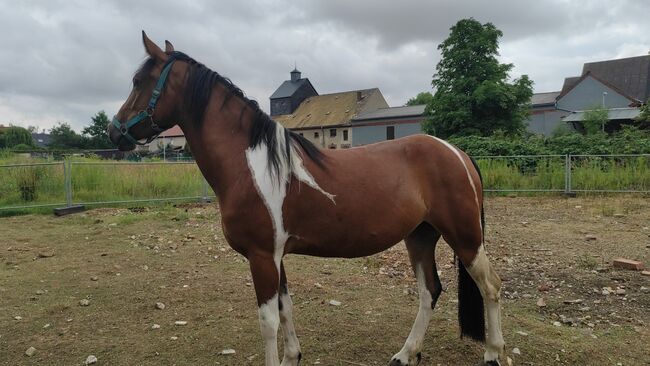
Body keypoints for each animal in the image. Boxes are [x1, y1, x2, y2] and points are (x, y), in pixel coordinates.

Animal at [107, 32, 506, 366]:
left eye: (139, 82)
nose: (114, 131)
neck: (252, 164)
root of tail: (457, 153)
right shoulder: (275, 256)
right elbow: (286, 309)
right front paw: (292, 357)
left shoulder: (262, 256)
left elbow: (268, 320)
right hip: (420, 236)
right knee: (429, 292)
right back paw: (405, 354)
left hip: (465, 237)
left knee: (490, 286)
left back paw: (492, 353)